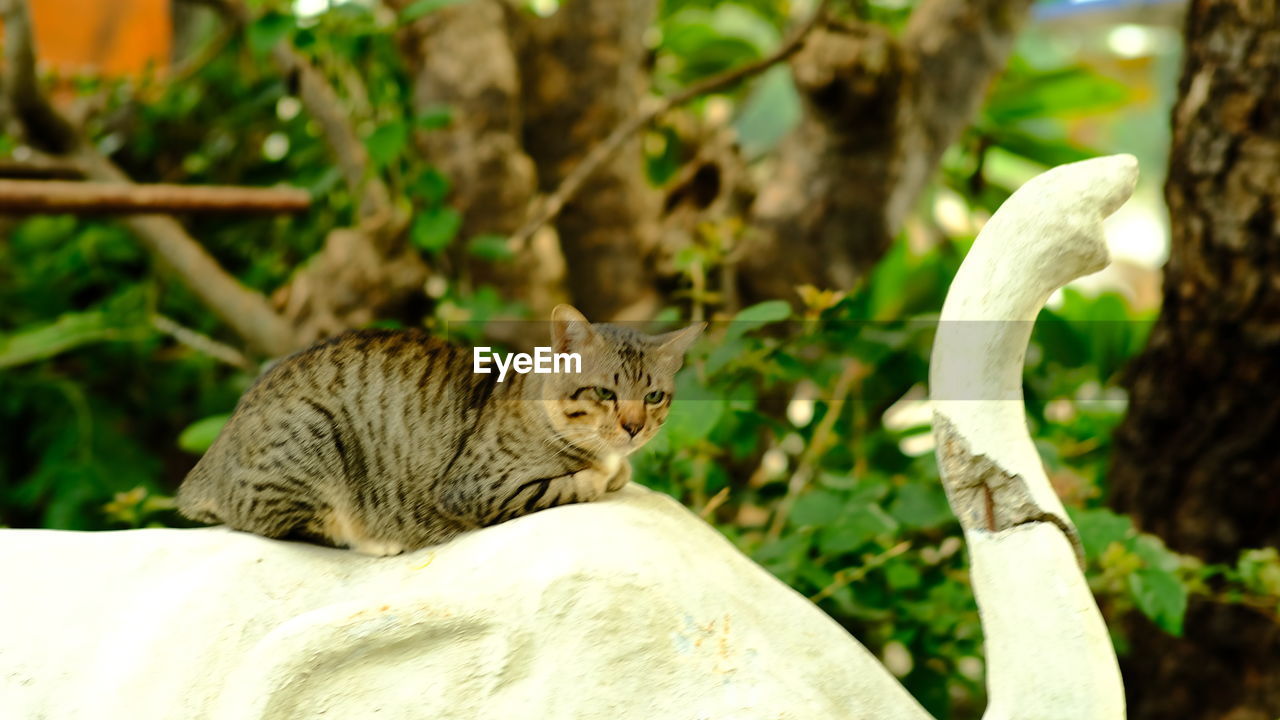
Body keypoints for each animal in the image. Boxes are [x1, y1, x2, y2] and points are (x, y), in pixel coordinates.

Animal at [172, 302, 701, 556]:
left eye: (654, 396)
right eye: (604, 394)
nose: (633, 428)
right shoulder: (476, 488)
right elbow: (573, 485)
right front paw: (599, 476)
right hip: (310, 438)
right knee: (278, 525)